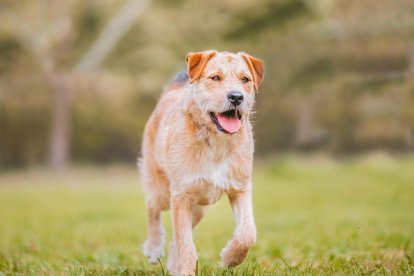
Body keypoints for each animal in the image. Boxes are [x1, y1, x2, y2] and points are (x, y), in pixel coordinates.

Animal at [138, 50, 262, 276]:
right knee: (152, 205)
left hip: (200, 206)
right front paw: (186, 270)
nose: (236, 97)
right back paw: (153, 247)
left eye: (245, 80)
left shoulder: (239, 188)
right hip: (163, 190)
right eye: (215, 78)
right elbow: (186, 245)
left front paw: (230, 258)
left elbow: (247, 233)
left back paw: (172, 266)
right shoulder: (181, 195)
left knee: (175, 239)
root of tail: (171, 92)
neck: (216, 142)